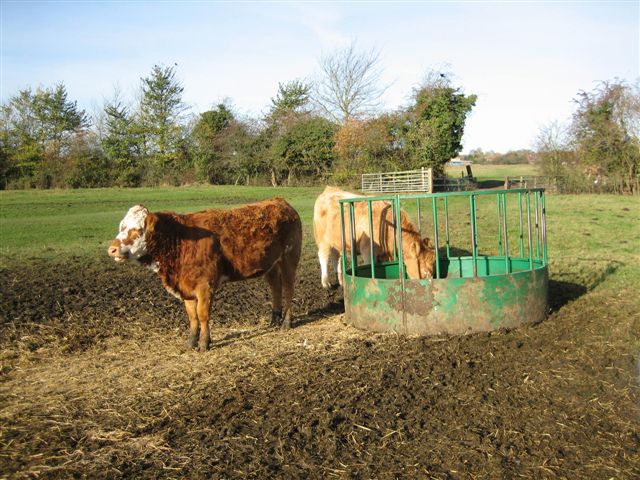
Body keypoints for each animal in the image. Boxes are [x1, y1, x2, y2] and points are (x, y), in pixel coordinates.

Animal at [107, 198, 302, 351]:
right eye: (121, 226)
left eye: (137, 230)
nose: (112, 249)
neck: (180, 240)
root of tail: (281, 202)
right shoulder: (186, 288)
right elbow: (192, 317)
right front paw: (191, 342)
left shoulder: (205, 286)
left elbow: (202, 315)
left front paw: (204, 343)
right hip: (271, 265)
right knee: (276, 288)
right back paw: (274, 320)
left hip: (289, 258)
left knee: (288, 289)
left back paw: (286, 322)